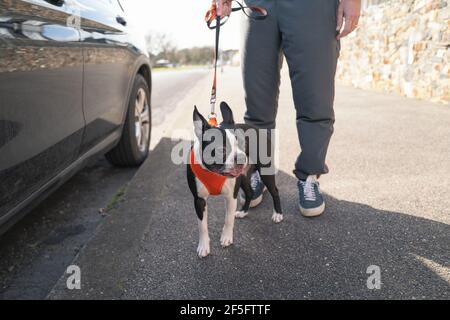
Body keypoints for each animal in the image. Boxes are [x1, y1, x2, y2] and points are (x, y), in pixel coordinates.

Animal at [186, 102, 282, 258]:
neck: (214, 172)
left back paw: (278, 214)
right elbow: (202, 226)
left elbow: (228, 219)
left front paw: (226, 238)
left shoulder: (231, 196)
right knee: (249, 192)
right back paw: (243, 211)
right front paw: (204, 246)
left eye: (243, 142)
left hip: (265, 172)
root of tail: (259, 130)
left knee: (275, 191)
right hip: (243, 177)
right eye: (221, 150)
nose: (241, 157)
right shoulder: (199, 200)